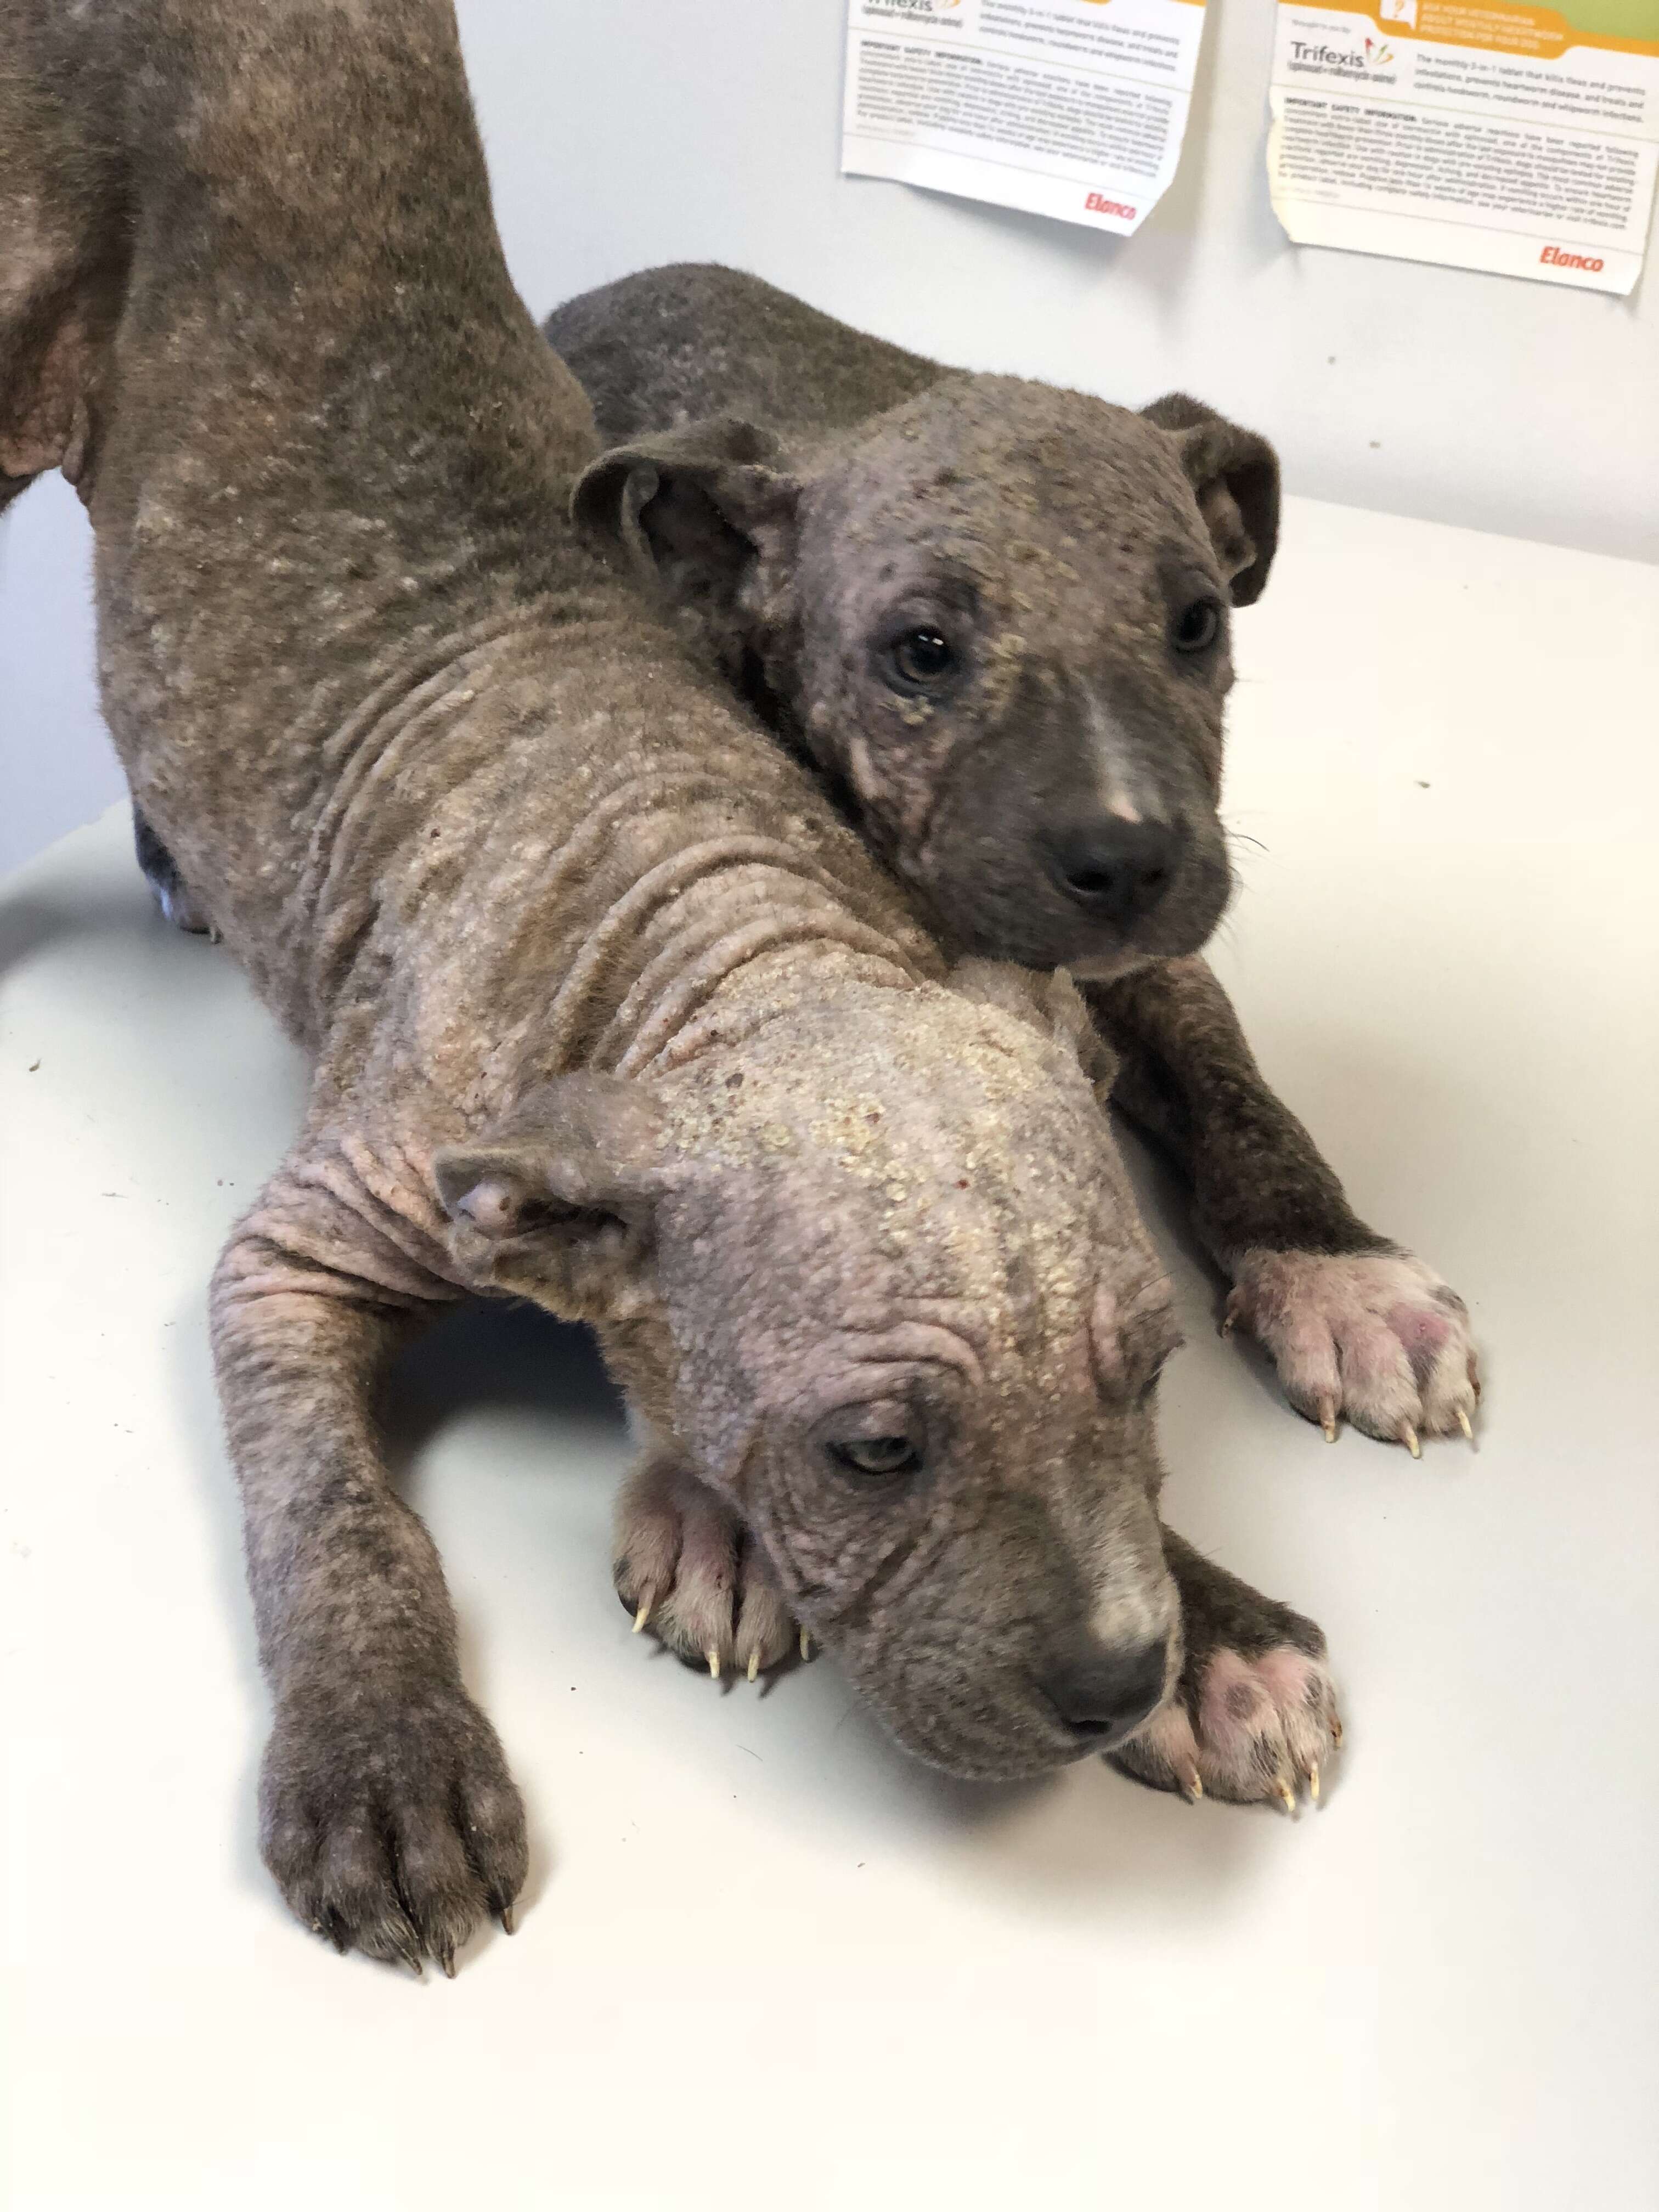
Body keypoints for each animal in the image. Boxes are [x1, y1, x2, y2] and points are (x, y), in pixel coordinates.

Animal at [3, 0, 1433, 1973]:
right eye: (875, 1453)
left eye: (1150, 1381)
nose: (1111, 1684)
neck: (718, 928)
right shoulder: (296, 1253)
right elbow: (333, 1512)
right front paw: (387, 1750)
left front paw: (1221, 1623)